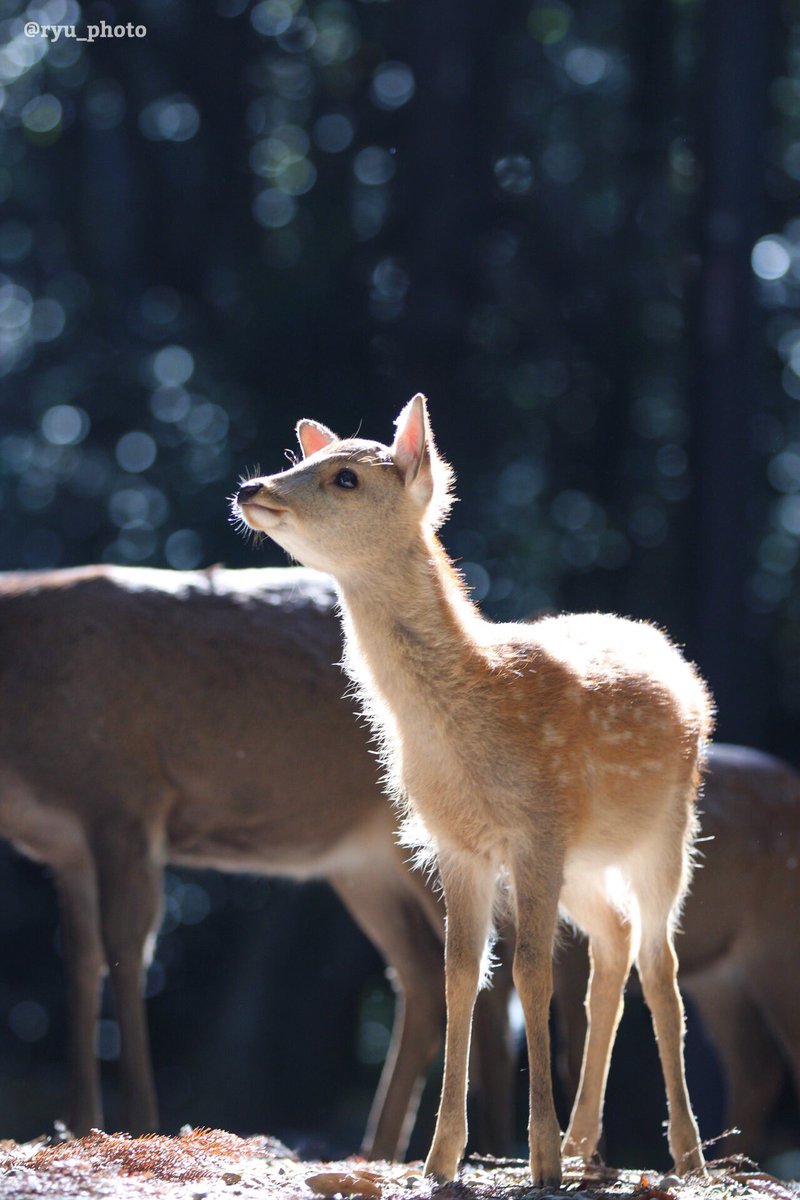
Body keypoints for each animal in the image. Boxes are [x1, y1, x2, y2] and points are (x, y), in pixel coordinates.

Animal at [0, 562, 478, 1157]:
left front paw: (138, 1121)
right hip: (363, 863)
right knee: (423, 972)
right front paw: (77, 1123)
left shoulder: (126, 798)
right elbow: (80, 957)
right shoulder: (67, 847)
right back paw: (380, 1148)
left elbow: (126, 948)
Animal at [234, 393, 713, 1186]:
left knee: (660, 967)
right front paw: (442, 1157)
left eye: (345, 478)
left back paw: (685, 1155)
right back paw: (587, 1145)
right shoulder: (458, 845)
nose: (251, 488)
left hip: (666, 831)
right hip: (585, 862)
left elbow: (530, 973)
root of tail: (679, 663)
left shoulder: (538, 828)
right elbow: (463, 975)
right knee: (613, 943)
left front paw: (538, 1160)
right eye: (306, 459)